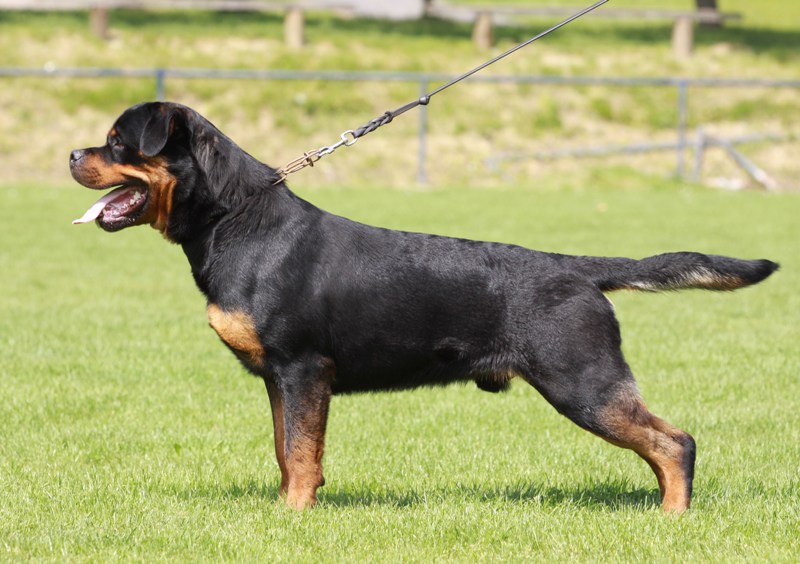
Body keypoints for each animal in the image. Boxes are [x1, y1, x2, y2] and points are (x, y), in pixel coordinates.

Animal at [70, 102, 777, 512]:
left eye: (116, 141)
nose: (73, 153)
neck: (233, 219)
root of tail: (576, 269)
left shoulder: (303, 368)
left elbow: (300, 451)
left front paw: (292, 516)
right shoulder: (278, 378)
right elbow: (284, 448)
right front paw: (286, 507)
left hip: (584, 382)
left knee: (675, 442)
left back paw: (673, 517)